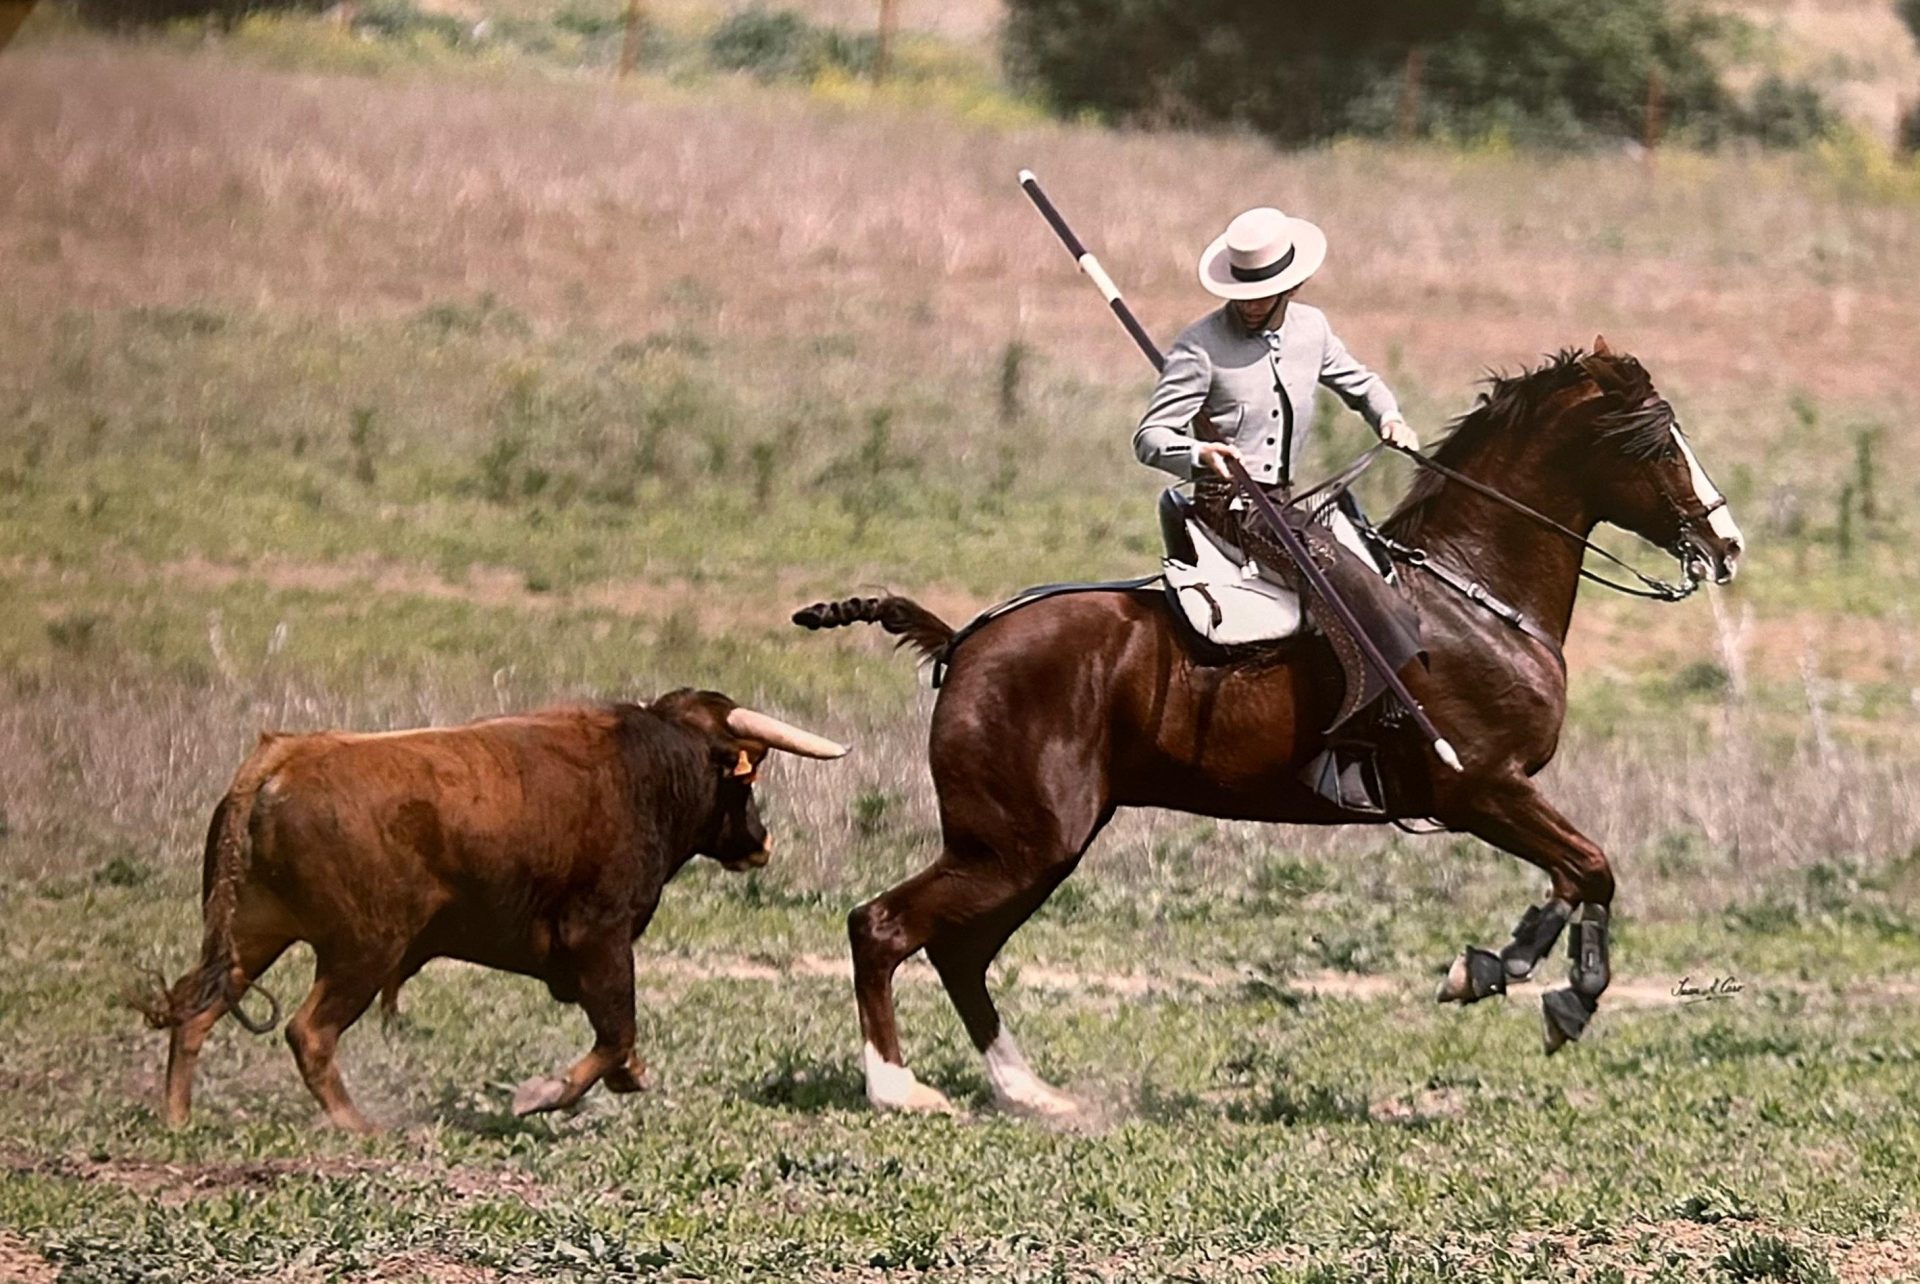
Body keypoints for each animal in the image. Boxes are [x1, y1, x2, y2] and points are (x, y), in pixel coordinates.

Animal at [794, 339, 1745, 1115]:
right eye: (1658, 442)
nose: (1726, 544)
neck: (1470, 593)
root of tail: (963, 642)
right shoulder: (1480, 789)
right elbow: (1591, 866)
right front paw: (1539, 987)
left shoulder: (1498, 796)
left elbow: (1578, 875)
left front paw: (1511, 970)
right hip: (1015, 845)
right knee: (883, 927)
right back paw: (898, 1090)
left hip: (1029, 850)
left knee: (960, 953)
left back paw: (1030, 1092)